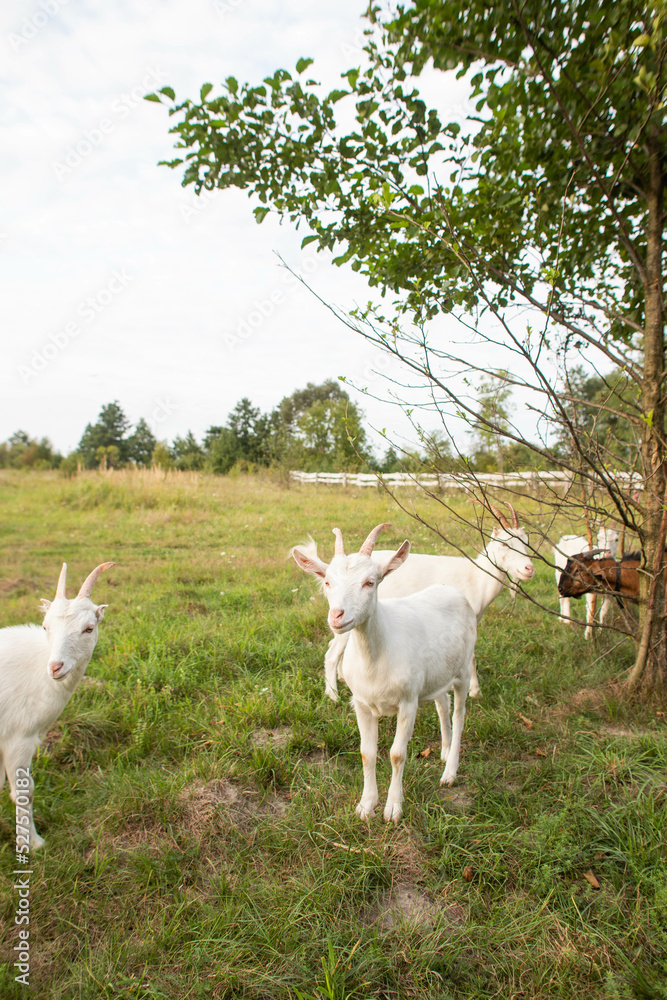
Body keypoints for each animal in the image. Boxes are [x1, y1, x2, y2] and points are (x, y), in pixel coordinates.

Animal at [0, 561, 113, 849]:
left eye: (89, 628)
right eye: (44, 627)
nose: (55, 667)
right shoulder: (17, 738)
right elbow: (24, 790)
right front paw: (33, 843)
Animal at [293, 523, 477, 824]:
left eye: (370, 581)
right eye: (328, 582)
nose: (337, 616)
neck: (377, 656)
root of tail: (453, 592)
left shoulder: (408, 702)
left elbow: (397, 754)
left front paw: (393, 809)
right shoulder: (361, 703)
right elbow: (367, 753)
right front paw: (366, 806)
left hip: (463, 670)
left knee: (459, 714)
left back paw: (450, 771)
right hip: (436, 675)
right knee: (443, 704)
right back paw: (445, 749)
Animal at [312, 501, 532, 702]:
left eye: (525, 541)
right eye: (504, 543)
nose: (529, 568)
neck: (476, 577)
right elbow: (471, 657)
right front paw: (474, 691)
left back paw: (342, 678)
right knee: (331, 653)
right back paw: (333, 695)